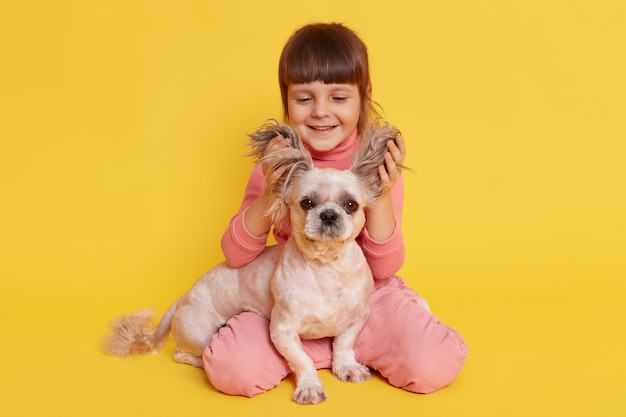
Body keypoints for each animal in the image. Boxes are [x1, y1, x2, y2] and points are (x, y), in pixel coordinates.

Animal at [103, 118, 400, 404]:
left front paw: (346, 367)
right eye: (306, 203)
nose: (328, 214)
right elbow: (302, 360)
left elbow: (343, 345)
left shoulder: (356, 318)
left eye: (351, 205)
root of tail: (183, 297)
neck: (327, 269)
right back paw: (201, 359)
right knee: (183, 354)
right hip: (200, 332)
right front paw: (309, 386)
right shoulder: (282, 331)